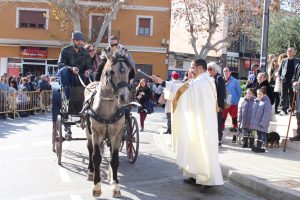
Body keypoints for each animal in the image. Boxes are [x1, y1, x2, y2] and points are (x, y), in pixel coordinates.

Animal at [83, 50, 132, 197]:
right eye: (112, 72)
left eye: (129, 71)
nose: (124, 97)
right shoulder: (96, 133)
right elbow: (96, 157)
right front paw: (97, 186)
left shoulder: (117, 134)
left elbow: (114, 159)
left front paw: (115, 185)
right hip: (88, 132)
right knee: (90, 149)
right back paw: (91, 172)